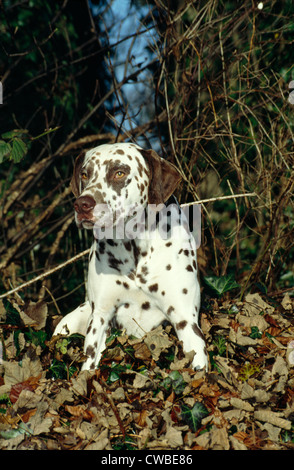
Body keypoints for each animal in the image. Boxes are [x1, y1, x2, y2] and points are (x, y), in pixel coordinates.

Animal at [54, 143, 208, 370]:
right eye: (84, 174)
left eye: (119, 172)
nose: (82, 204)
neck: (136, 248)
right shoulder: (100, 317)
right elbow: (89, 366)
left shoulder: (185, 320)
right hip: (71, 320)